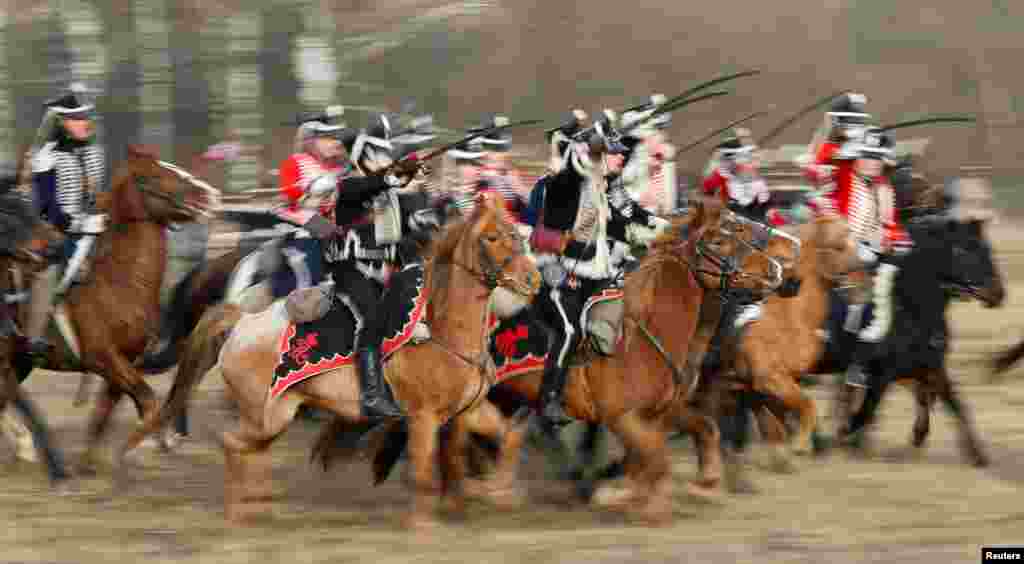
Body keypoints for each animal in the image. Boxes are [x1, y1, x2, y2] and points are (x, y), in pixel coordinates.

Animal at [9, 142, 218, 472]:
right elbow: (147, 400)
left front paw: (90, 464)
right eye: (152, 176)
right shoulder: (103, 358)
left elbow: (104, 415)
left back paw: (25, 447)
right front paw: (150, 443)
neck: (119, 281)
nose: (210, 195)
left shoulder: (122, 364)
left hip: (21, 360)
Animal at [125, 192, 544, 528]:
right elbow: (423, 474)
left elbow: (508, 437)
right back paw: (237, 512)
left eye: (516, 233)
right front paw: (424, 524)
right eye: (492, 237)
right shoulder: (422, 418)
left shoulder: (468, 411)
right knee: (232, 443)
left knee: (252, 450)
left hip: (275, 415)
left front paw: (498, 492)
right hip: (267, 415)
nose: (533, 279)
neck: (445, 328)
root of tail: (242, 321)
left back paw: (258, 506)